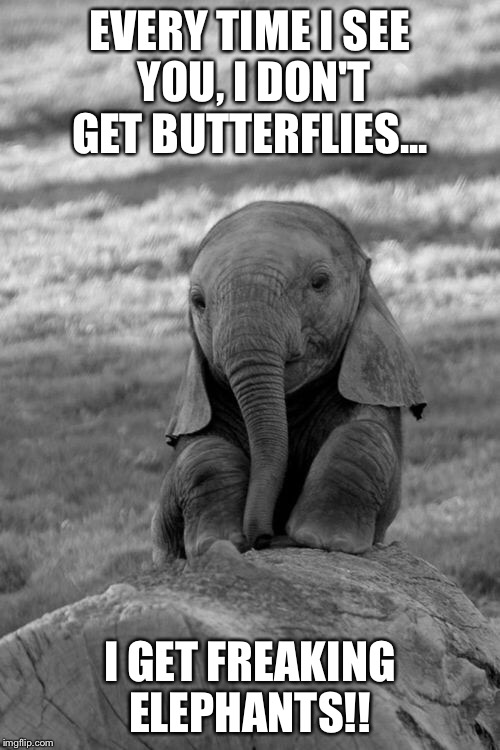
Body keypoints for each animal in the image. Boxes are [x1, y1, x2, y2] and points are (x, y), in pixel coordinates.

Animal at [152, 200, 425, 563]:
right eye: (199, 302)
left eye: (319, 282)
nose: (264, 538)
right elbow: (201, 452)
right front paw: (215, 544)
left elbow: (364, 436)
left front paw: (321, 539)